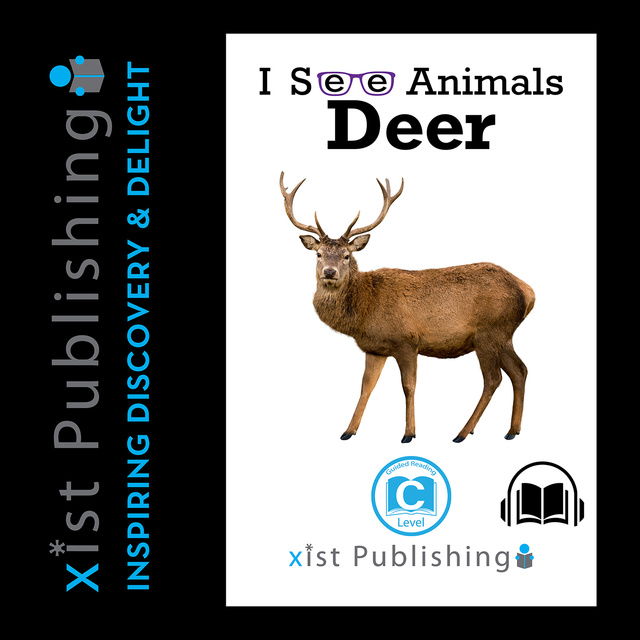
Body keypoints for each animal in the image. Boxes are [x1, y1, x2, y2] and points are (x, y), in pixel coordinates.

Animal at [280, 171, 535, 444]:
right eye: (318, 254)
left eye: (347, 256)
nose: (330, 272)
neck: (365, 309)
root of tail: (528, 292)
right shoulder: (375, 348)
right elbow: (366, 387)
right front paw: (348, 431)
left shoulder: (407, 341)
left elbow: (408, 386)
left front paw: (409, 433)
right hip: (503, 335)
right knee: (520, 370)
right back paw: (512, 430)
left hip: (489, 332)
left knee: (493, 379)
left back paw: (463, 432)